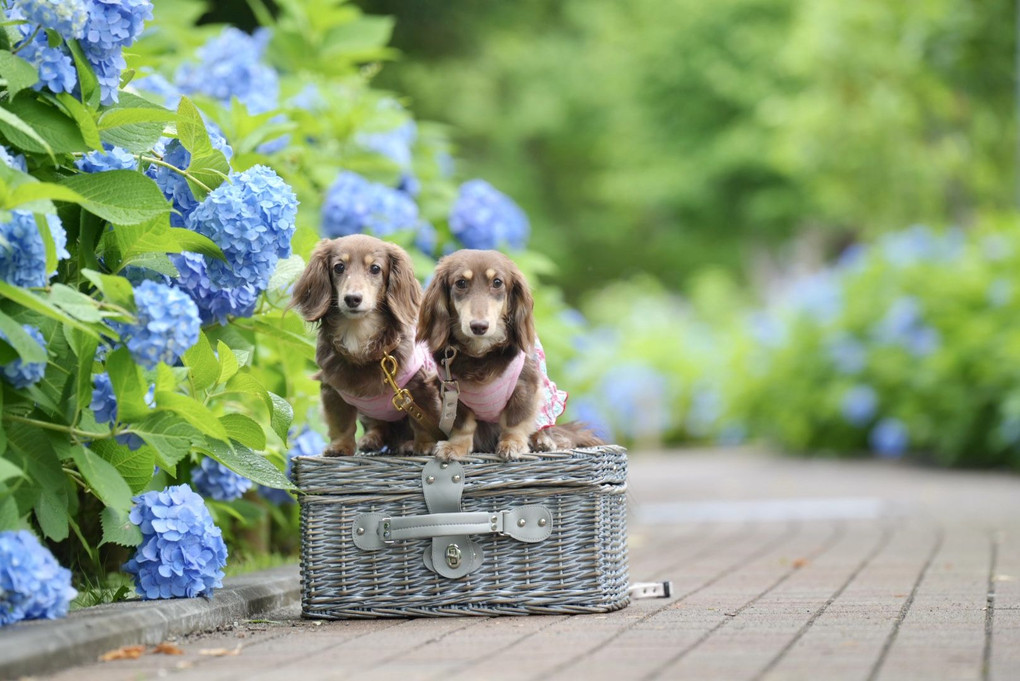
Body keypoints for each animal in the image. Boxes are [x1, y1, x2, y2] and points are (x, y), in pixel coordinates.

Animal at [291, 235, 442, 456]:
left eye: (375, 268)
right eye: (339, 267)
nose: (352, 299)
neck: (358, 334)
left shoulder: (420, 386)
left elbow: (423, 421)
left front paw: (425, 445)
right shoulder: (332, 389)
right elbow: (342, 424)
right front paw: (340, 447)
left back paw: (407, 444)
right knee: (377, 426)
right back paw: (371, 439)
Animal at [416, 247, 599, 460]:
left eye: (497, 282)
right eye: (460, 283)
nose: (479, 326)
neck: (480, 353)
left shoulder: (525, 386)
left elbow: (515, 422)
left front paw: (513, 443)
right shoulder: (452, 394)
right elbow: (462, 425)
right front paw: (456, 446)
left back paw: (542, 441)